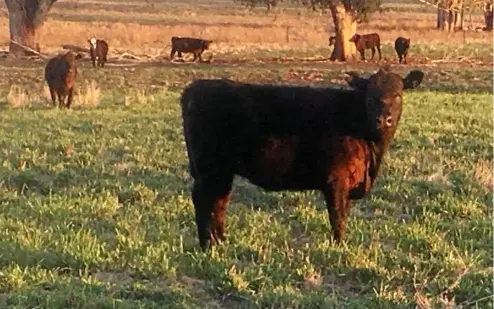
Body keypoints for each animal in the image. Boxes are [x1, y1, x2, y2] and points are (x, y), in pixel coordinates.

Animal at [180, 68, 424, 250]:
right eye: (370, 97)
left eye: (398, 95)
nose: (384, 119)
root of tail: (195, 87)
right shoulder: (336, 180)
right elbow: (338, 217)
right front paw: (339, 248)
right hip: (210, 169)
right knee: (204, 201)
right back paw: (207, 246)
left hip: (222, 172)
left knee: (219, 202)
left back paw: (220, 242)